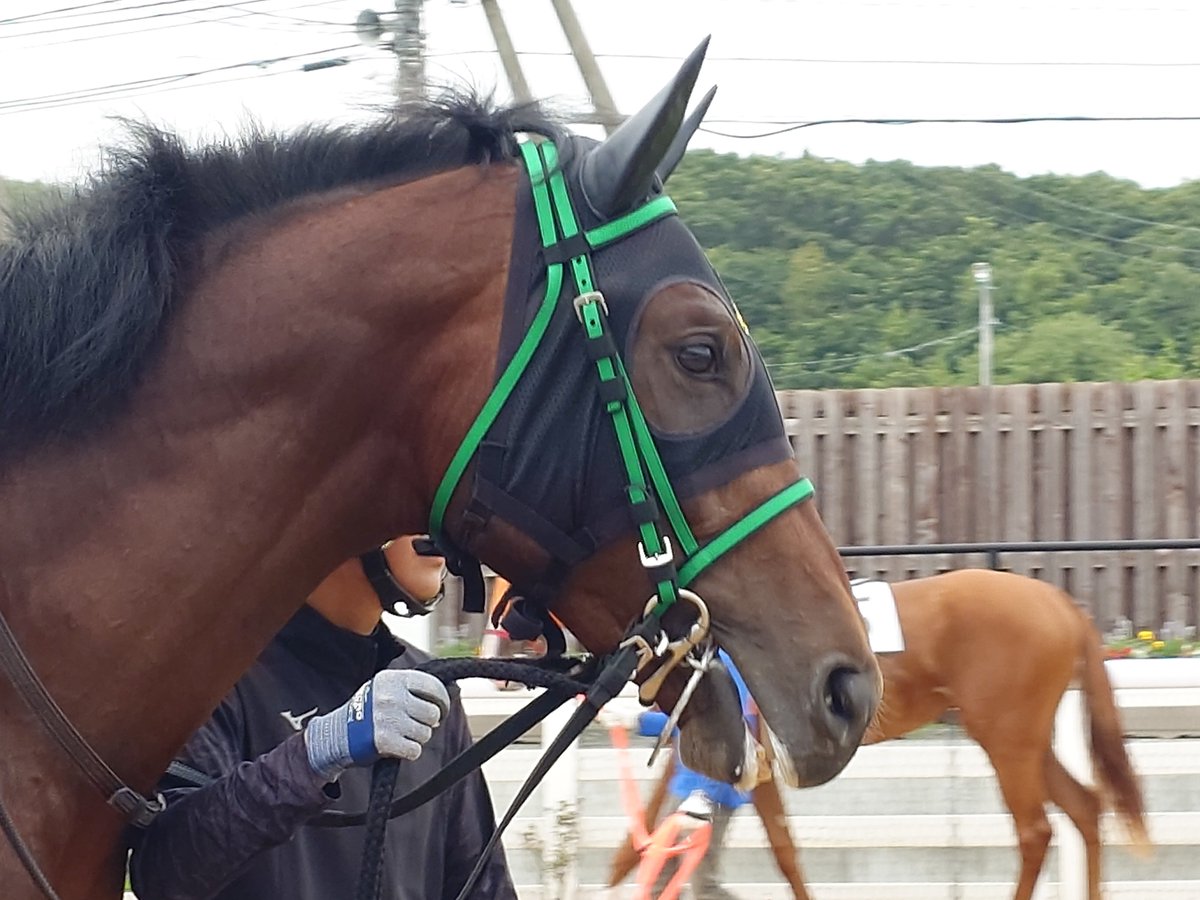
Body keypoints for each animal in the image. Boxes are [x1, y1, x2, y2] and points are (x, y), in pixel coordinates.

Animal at [609, 568, 1149, 900]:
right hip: (1024, 741)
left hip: (1008, 740)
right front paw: (625, 864)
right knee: (1084, 807)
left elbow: (784, 851)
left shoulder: (751, 752)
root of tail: (1061, 603)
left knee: (1036, 831)